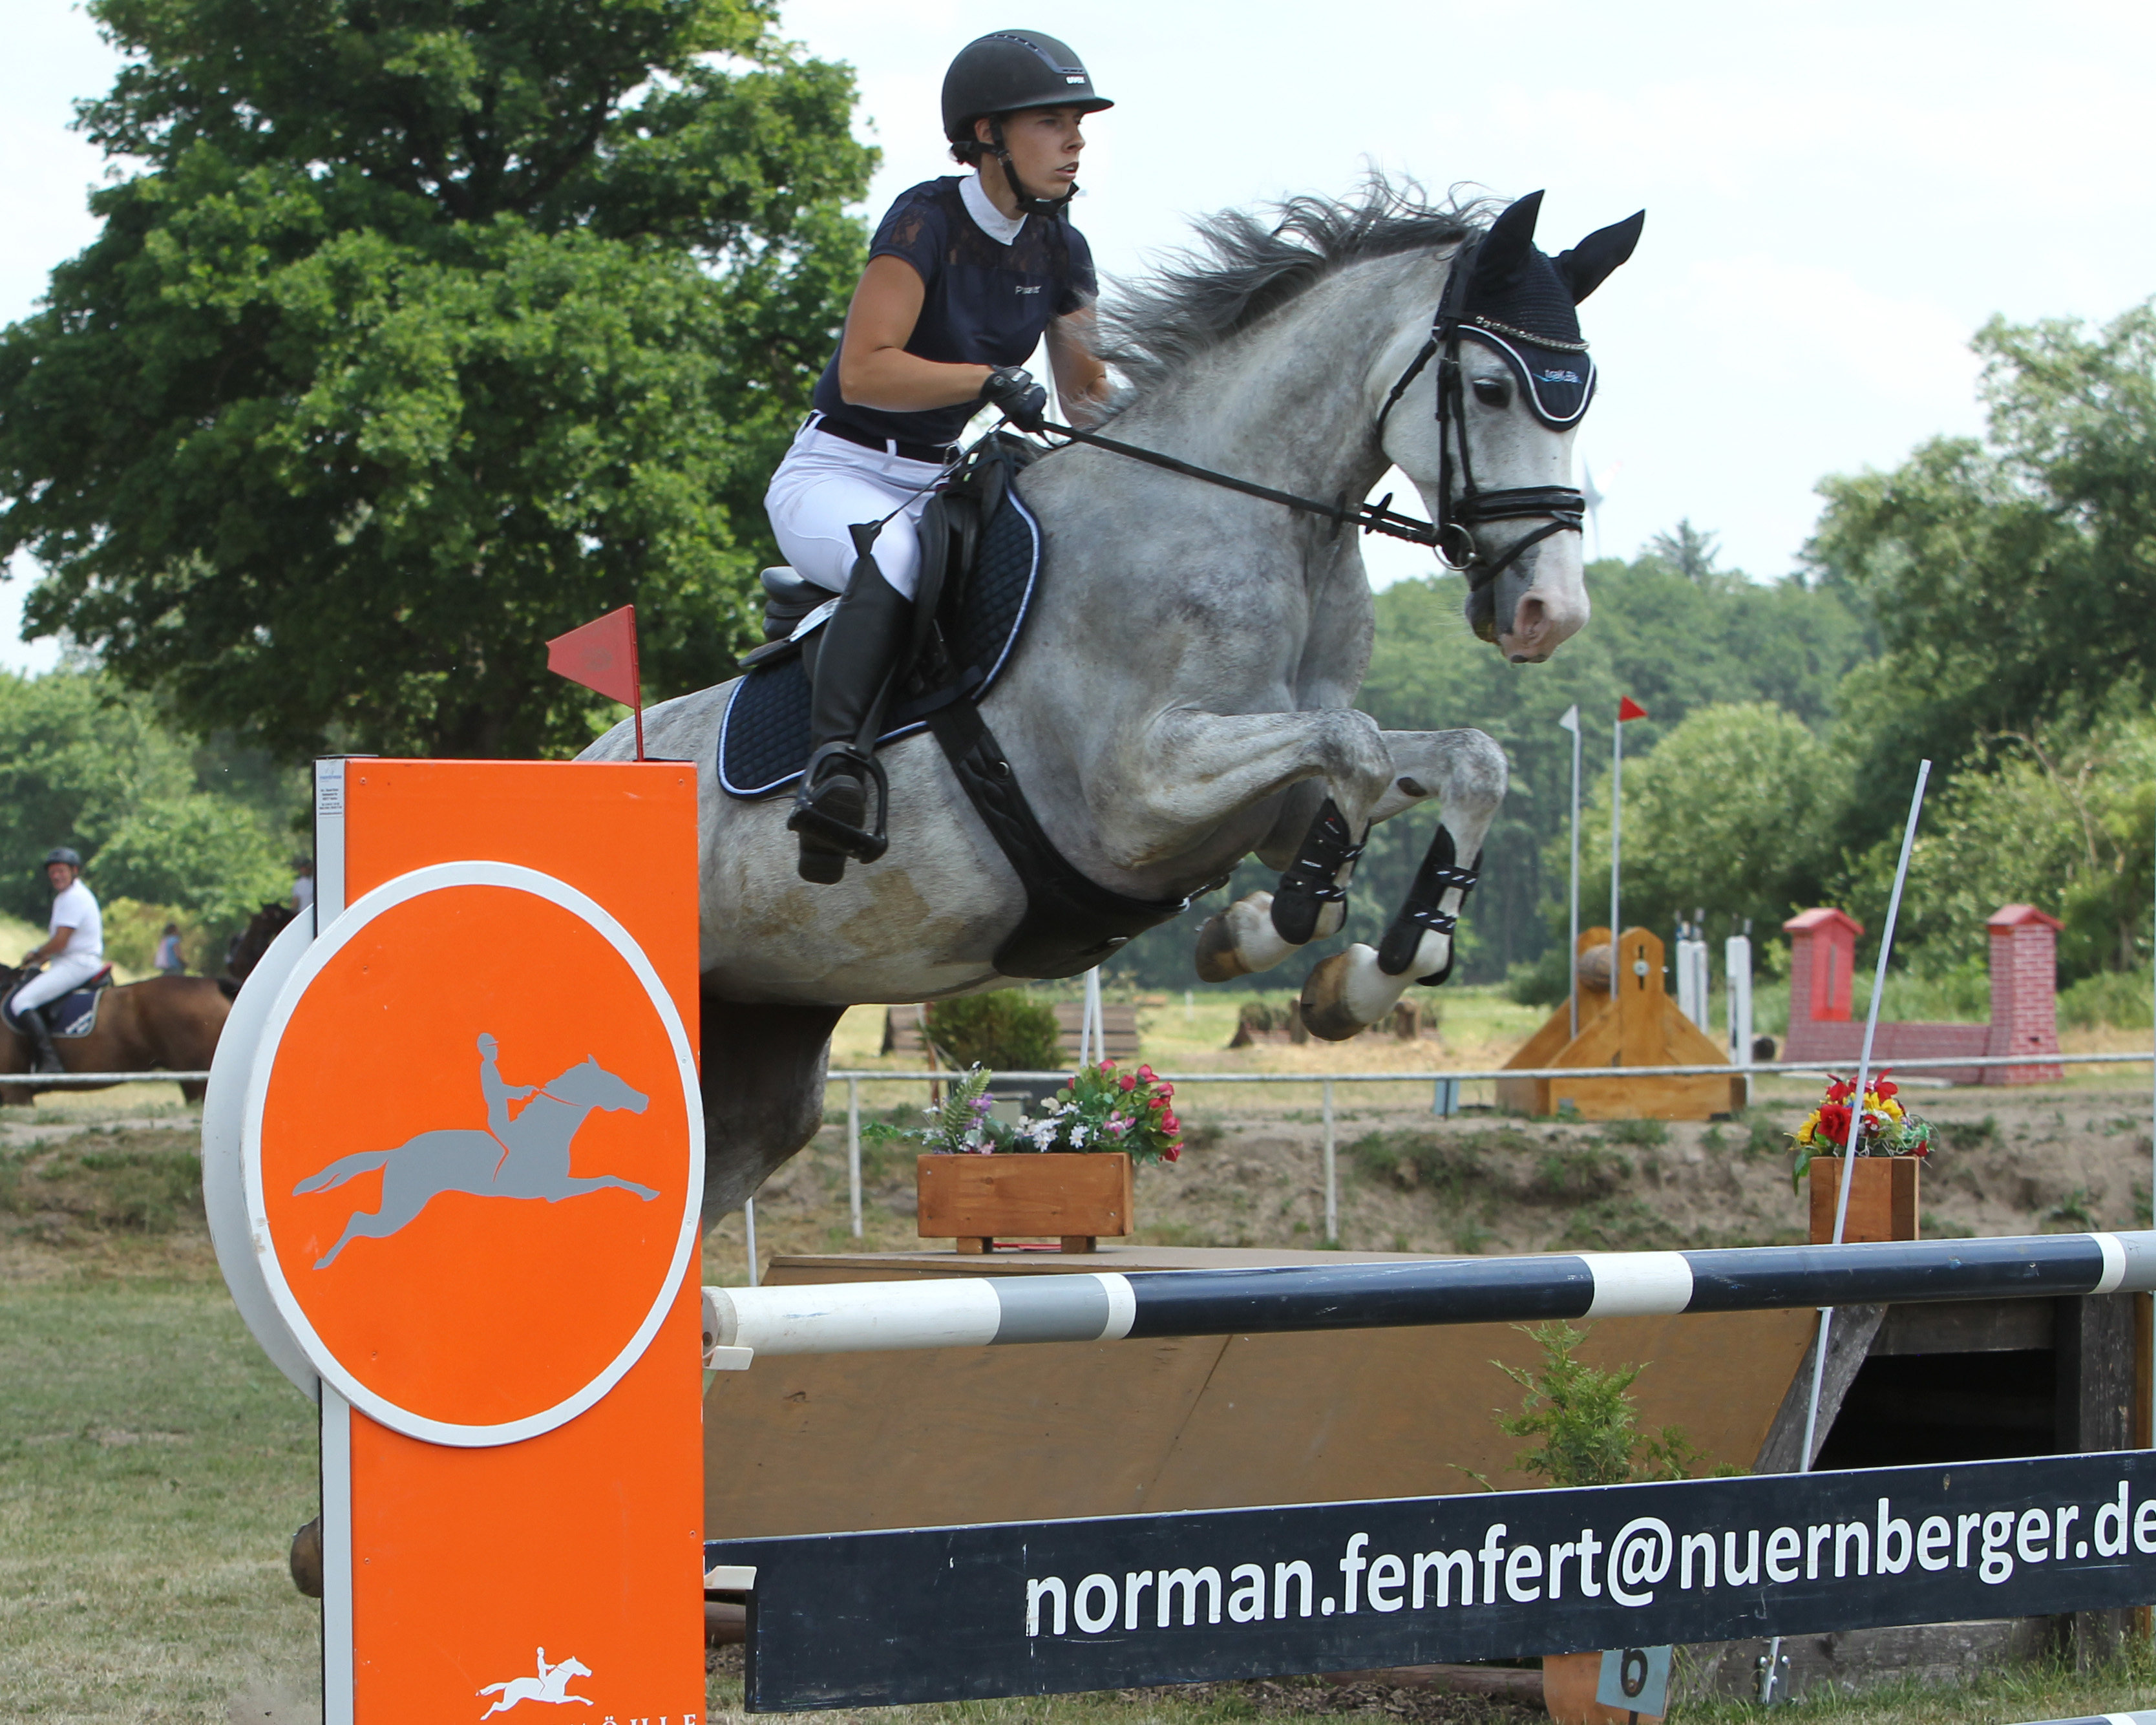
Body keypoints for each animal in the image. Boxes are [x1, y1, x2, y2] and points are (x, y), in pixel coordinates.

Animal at [293, 1039, 655, 1267]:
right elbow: (607, 1178)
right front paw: (649, 1193)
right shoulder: (555, 1190)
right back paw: (323, 1263)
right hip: (401, 1208)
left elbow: (609, 1177)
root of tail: (397, 1151)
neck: (546, 1131)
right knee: (358, 1220)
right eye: (610, 1083)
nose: (644, 1101)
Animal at [582, 185, 1638, 1224]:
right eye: (1493, 388)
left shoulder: (1270, 799)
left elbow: (1460, 760)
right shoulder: (1135, 796)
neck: (1258, 523)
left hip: (762, 1040)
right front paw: (1284, 917)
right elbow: (1358, 748)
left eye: (1581, 396)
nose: (1550, 611)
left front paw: (1347, 974)